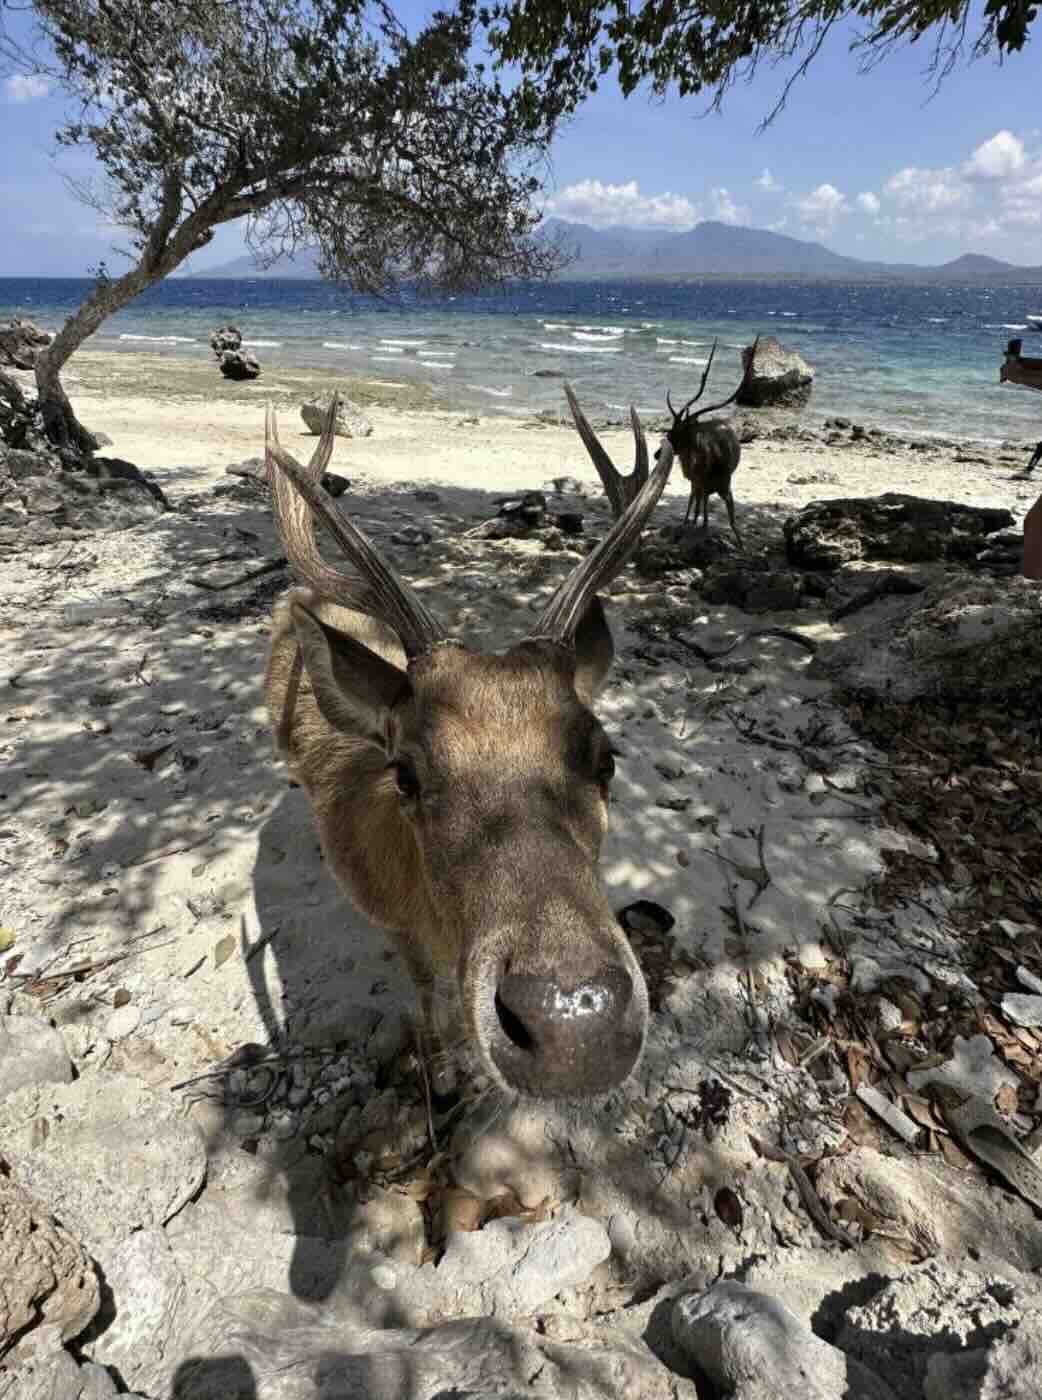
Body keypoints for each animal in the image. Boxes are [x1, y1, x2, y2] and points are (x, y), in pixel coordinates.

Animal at [263, 397, 673, 1103]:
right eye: (405, 774)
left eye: (605, 758)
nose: (573, 1026)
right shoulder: (394, 924)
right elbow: (429, 991)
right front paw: (442, 1070)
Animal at [662, 336, 759, 547]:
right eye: (670, 430)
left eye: (678, 432)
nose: (658, 453)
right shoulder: (701, 483)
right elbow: (701, 510)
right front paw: (691, 526)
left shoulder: (721, 486)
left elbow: (729, 519)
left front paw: (740, 544)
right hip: (699, 483)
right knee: (695, 502)